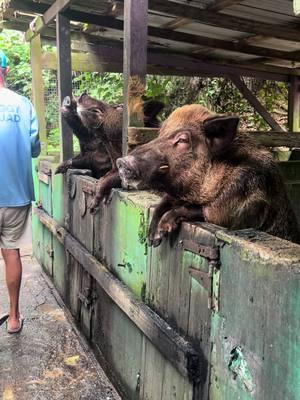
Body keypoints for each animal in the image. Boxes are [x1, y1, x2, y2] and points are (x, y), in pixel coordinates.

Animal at [115, 103, 300, 247]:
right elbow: (162, 204)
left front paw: (163, 229)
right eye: (160, 134)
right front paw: (153, 239)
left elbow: (196, 210)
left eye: (182, 140)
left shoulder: (232, 206)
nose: (122, 161)